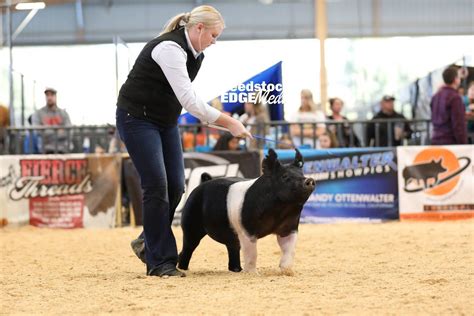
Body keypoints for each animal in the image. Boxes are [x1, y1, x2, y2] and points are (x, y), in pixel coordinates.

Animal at [178, 148, 314, 274]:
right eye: (285, 176)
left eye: (302, 174)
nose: (309, 180)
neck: (279, 211)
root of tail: (203, 183)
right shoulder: (247, 231)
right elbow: (252, 253)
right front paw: (253, 274)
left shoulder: (289, 228)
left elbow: (289, 250)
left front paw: (287, 271)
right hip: (190, 225)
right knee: (188, 247)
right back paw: (183, 269)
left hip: (231, 236)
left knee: (233, 248)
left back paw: (237, 270)